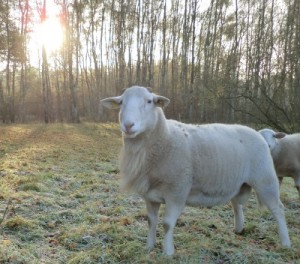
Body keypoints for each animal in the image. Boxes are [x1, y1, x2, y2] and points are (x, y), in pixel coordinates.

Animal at [101, 86, 290, 256]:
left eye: (149, 101)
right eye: (121, 103)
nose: (128, 125)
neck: (165, 138)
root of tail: (258, 134)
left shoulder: (177, 191)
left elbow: (167, 224)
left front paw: (168, 252)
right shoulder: (150, 195)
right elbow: (151, 221)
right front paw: (149, 247)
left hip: (265, 179)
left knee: (278, 209)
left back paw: (285, 243)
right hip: (239, 183)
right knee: (237, 205)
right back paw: (238, 229)